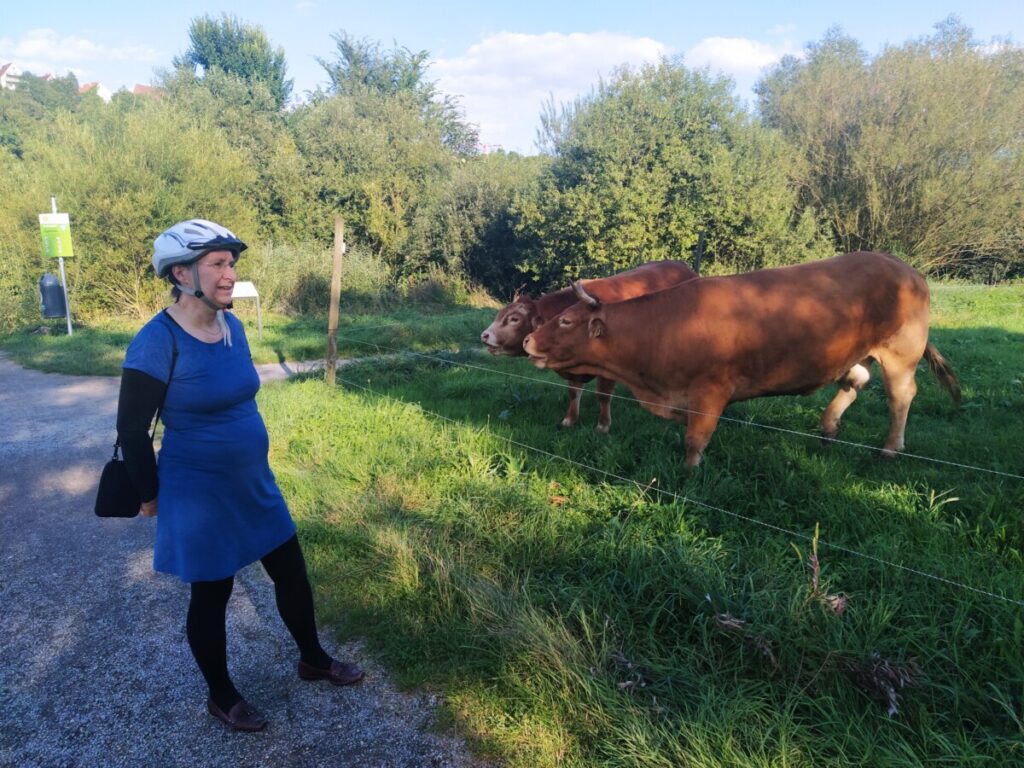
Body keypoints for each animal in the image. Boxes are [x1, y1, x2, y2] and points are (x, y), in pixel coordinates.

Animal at [479, 262, 696, 434]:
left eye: (514, 319)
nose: (484, 335)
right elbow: (573, 393)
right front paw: (569, 420)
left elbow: (603, 395)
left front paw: (603, 425)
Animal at [524, 256, 962, 466]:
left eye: (565, 320)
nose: (528, 339)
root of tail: (907, 269)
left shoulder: (710, 391)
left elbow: (695, 439)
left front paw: (690, 471)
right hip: (858, 351)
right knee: (853, 381)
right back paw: (828, 427)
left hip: (901, 353)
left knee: (901, 397)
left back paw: (889, 448)